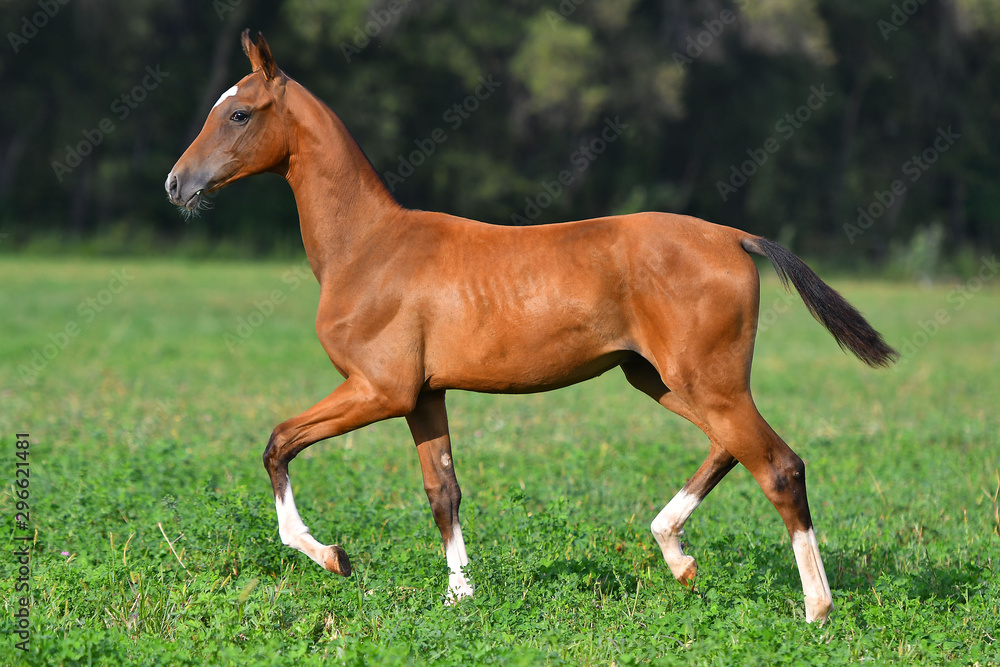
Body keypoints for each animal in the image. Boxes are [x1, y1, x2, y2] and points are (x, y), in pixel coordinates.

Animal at [165, 30, 897, 623]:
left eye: (238, 112)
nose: (176, 184)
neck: (368, 248)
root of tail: (734, 236)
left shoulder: (379, 389)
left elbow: (278, 443)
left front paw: (332, 556)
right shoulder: (423, 396)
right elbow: (443, 490)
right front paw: (459, 597)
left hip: (702, 381)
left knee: (778, 465)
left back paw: (817, 608)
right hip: (664, 379)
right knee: (733, 448)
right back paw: (678, 555)